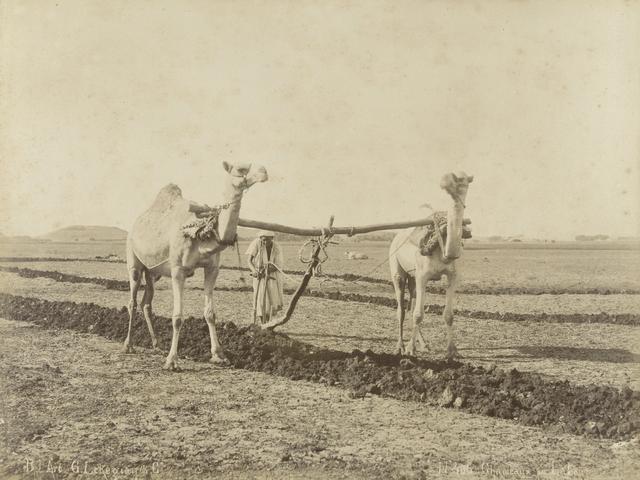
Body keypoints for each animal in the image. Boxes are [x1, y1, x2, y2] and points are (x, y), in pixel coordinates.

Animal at [124, 161, 268, 370]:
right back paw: (128, 345)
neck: (200, 231)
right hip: (134, 263)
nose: (264, 171)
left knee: (146, 303)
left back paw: (156, 344)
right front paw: (172, 361)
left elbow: (210, 313)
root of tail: (134, 227)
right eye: (241, 169)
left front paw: (219, 355)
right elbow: (177, 317)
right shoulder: (178, 270)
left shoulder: (212, 269)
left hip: (153, 272)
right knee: (132, 301)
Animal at [389, 172, 473, 359]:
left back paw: (424, 344)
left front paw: (452, 351)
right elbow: (418, 314)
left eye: (461, 179)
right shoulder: (423, 275)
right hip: (397, 269)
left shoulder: (452, 275)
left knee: (411, 303)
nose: (444, 181)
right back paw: (399, 346)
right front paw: (410, 349)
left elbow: (448, 315)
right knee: (401, 309)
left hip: (412, 277)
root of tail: (396, 237)